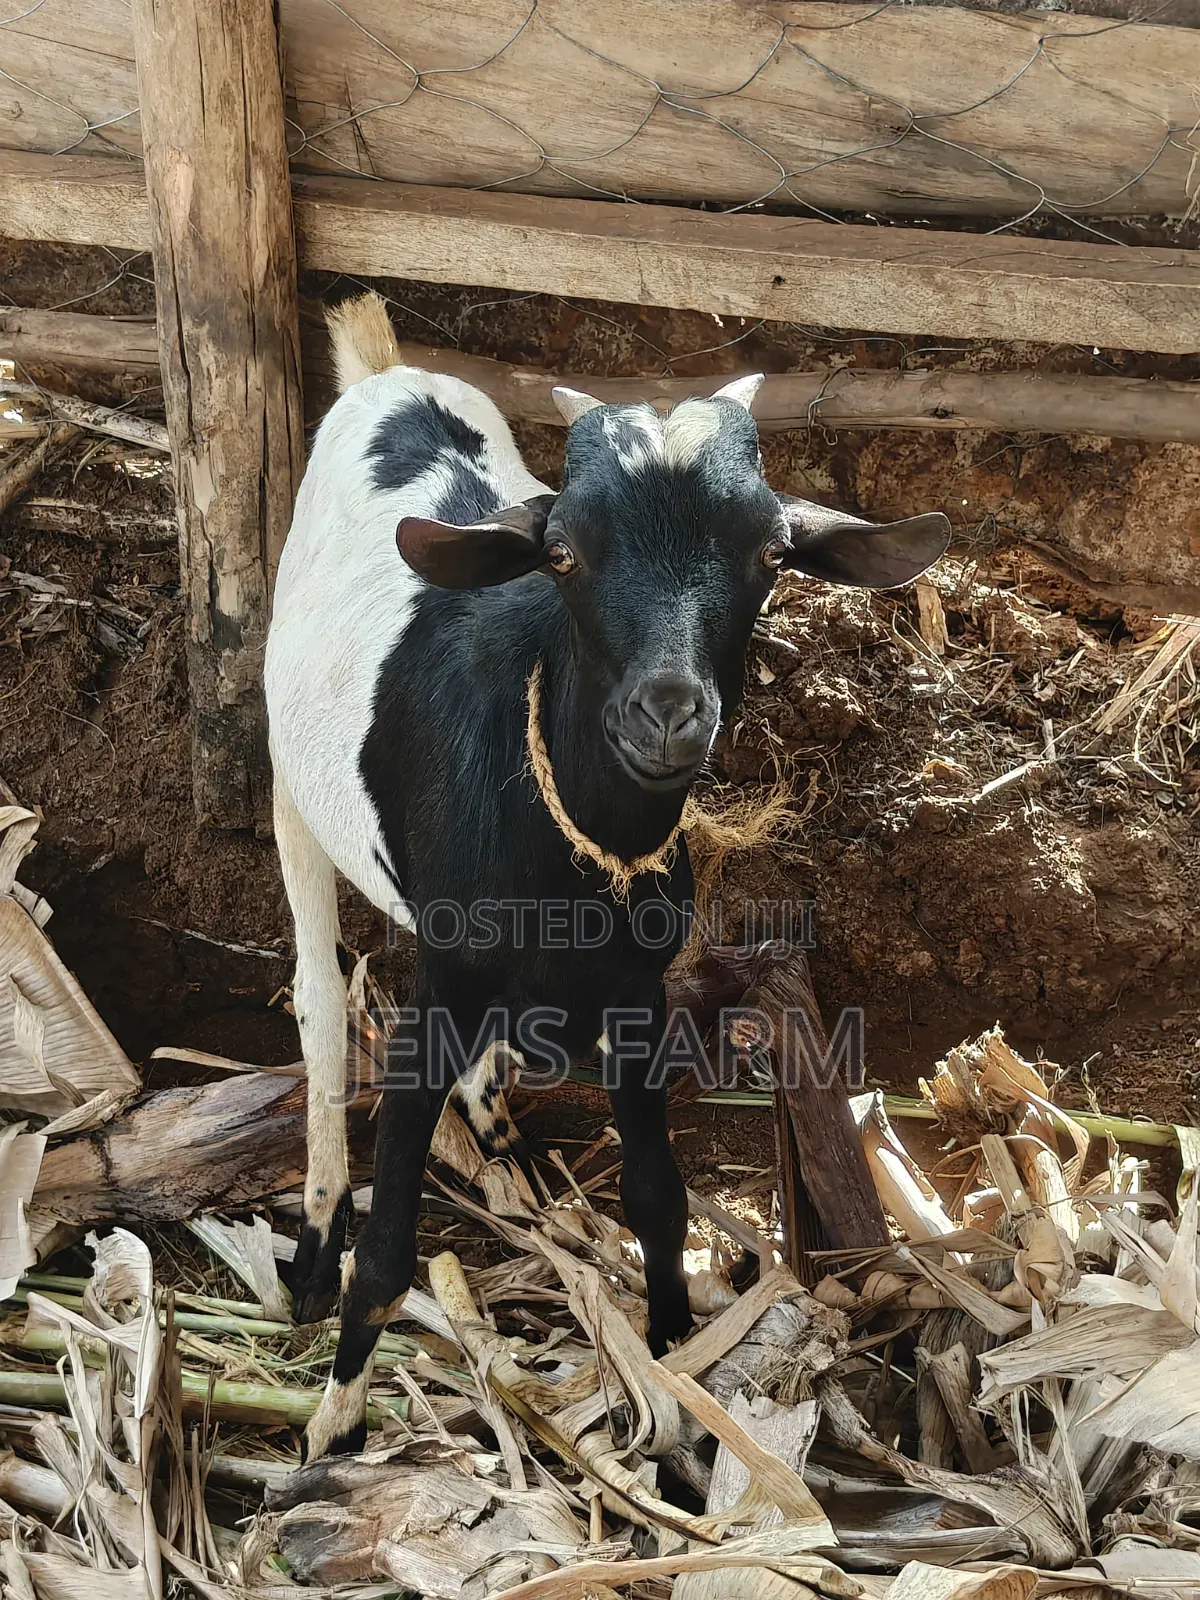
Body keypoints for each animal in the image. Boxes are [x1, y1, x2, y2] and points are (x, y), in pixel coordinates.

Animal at [265, 292, 949, 1459]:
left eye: (771, 551)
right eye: (564, 553)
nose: (666, 713)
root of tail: (386, 375)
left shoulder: (638, 989)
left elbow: (660, 1197)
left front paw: (675, 1374)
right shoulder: (441, 978)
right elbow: (391, 1245)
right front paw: (336, 1423)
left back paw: (502, 1140)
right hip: (288, 783)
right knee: (314, 993)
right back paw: (315, 1241)